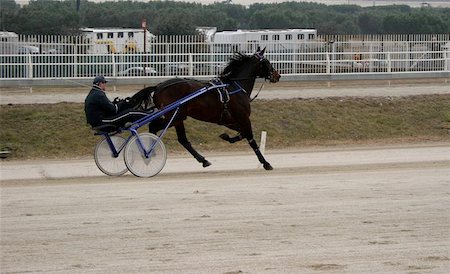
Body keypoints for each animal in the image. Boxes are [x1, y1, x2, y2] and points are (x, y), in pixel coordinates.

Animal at [129, 48, 282, 170]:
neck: (235, 87)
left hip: (178, 118)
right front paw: (265, 163)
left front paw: (227, 137)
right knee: (153, 126)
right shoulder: (243, 118)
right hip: (174, 116)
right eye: (267, 62)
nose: (277, 75)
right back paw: (149, 152)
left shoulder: (229, 120)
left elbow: (242, 134)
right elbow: (250, 138)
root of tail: (158, 87)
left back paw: (203, 160)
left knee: (182, 139)